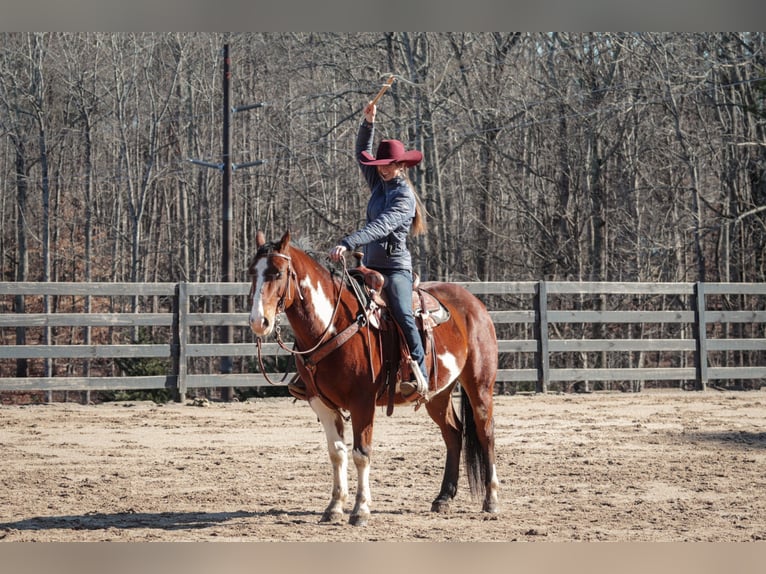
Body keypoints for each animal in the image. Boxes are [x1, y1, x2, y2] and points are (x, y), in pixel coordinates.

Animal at [249, 230, 500, 528]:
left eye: (277, 272)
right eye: (252, 272)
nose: (258, 322)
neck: (332, 323)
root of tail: (475, 304)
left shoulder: (362, 402)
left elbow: (361, 453)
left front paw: (360, 510)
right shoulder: (320, 403)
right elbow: (337, 452)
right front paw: (334, 507)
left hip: (479, 384)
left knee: (486, 433)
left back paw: (491, 500)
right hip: (438, 394)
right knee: (453, 433)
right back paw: (443, 498)